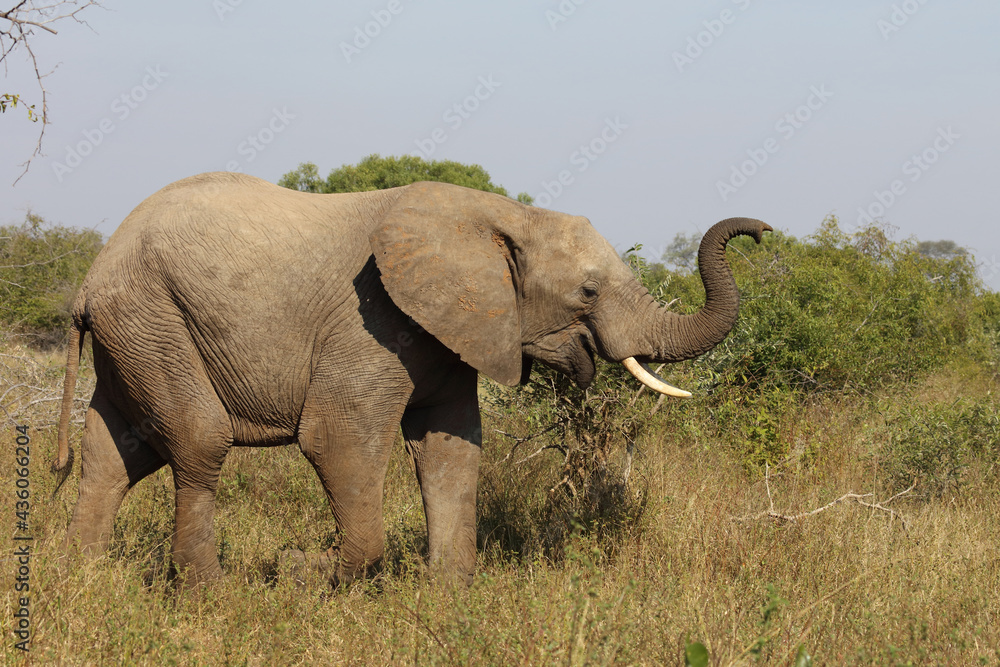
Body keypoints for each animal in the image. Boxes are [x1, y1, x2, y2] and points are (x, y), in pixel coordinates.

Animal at [53, 172, 771, 587]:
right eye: (588, 291)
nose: (761, 231)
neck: (501, 215)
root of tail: (88, 279)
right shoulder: (370, 322)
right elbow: (338, 439)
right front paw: (302, 570)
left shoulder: (450, 333)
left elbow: (453, 448)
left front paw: (452, 593)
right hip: (152, 315)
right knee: (199, 441)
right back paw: (209, 590)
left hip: (137, 331)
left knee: (114, 453)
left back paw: (84, 577)